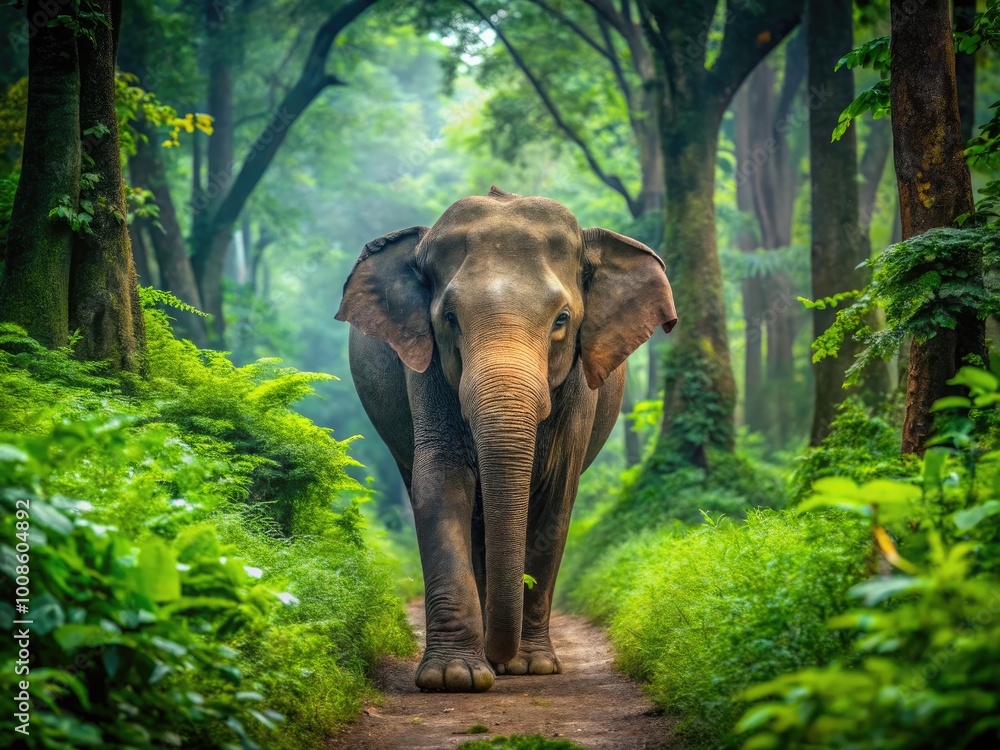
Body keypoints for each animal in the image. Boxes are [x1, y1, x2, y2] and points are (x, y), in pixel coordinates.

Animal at [335, 186, 676, 693]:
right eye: (450, 318)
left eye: (562, 319)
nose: (502, 657)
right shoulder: (425, 366)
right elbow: (441, 479)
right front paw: (454, 677)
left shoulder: (579, 385)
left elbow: (556, 493)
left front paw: (530, 667)